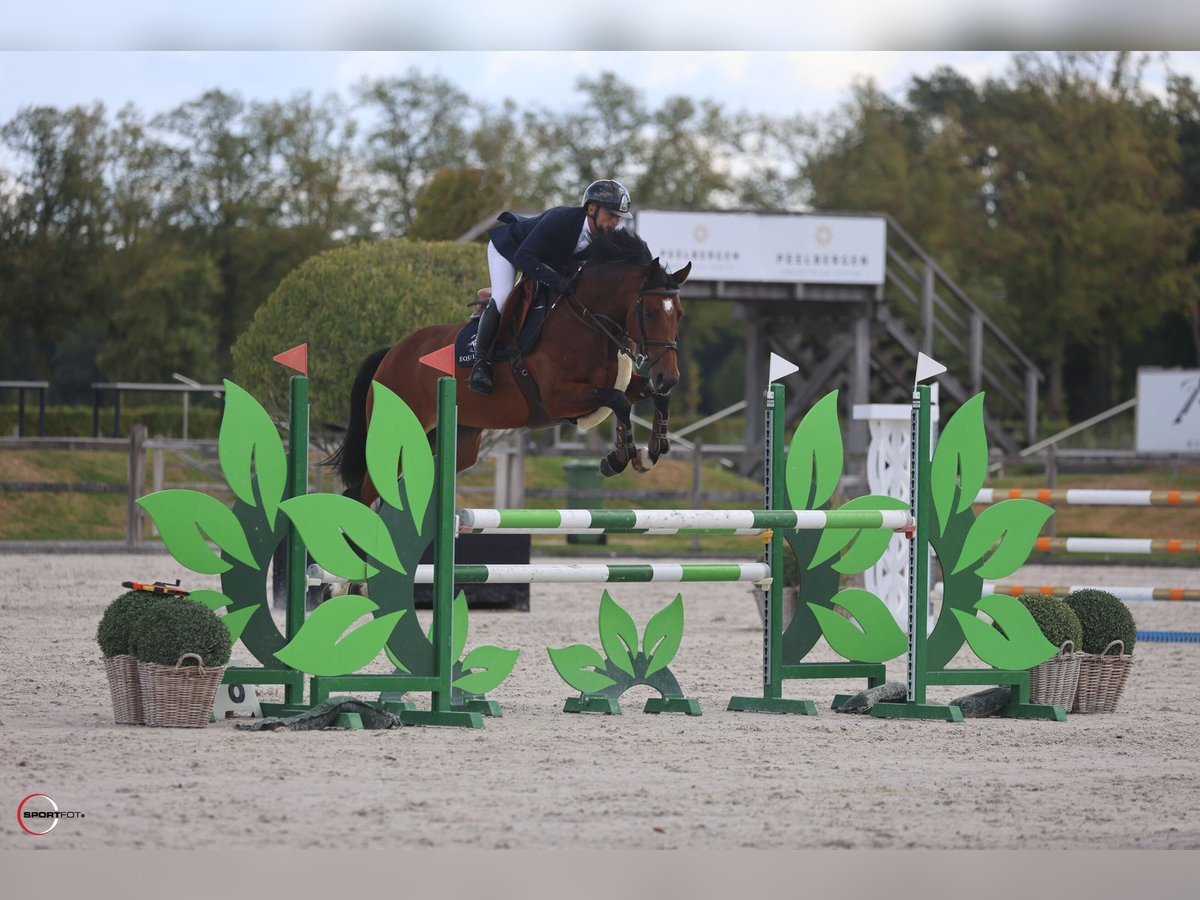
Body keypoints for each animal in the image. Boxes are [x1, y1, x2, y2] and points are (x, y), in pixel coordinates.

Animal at [329, 227, 692, 507]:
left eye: (679, 314)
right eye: (651, 313)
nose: (669, 377)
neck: (585, 320)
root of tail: (391, 355)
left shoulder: (616, 387)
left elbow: (654, 399)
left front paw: (652, 451)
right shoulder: (560, 399)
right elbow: (618, 403)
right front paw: (619, 458)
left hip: (456, 441)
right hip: (398, 435)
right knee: (365, 492)